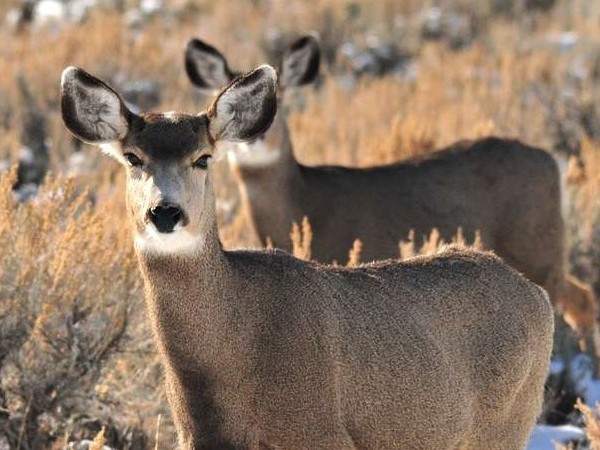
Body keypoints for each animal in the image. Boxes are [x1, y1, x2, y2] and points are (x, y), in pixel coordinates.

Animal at [61, 63, 552, 450]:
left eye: (203, 158)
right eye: (132, 157)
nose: (164, 212)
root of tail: (536, 296)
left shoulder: (320, 431)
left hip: (505, 422)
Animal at [185, 34, 596, 356]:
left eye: (281, 100)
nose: (257, 137)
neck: (303, 202)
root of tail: (551, 161)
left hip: (537, 245)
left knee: (580, 301)